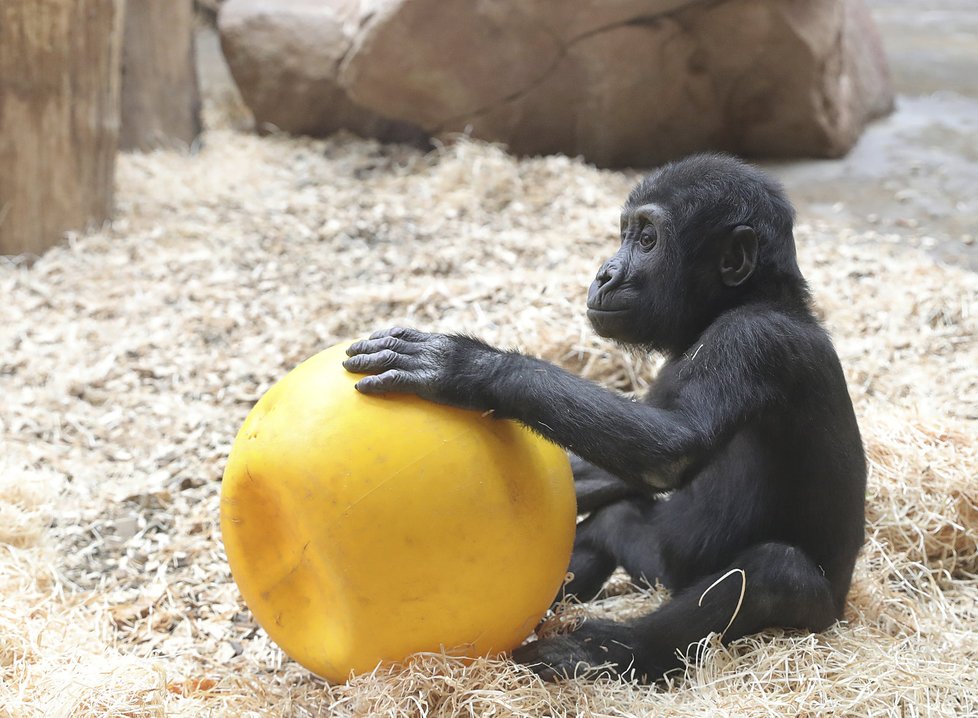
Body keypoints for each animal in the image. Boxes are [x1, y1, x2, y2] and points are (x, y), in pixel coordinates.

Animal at [342, 155, 860, 684]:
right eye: (625, 233)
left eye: (648, 239)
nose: (606, 273)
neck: (740, 302)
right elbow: (621, 461)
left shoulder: (754, 339)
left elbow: (671, 446)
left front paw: (464, 365)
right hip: (659, 567)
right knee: (613, 523)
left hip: (811, 613)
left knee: (773, 575)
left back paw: (606, 652)